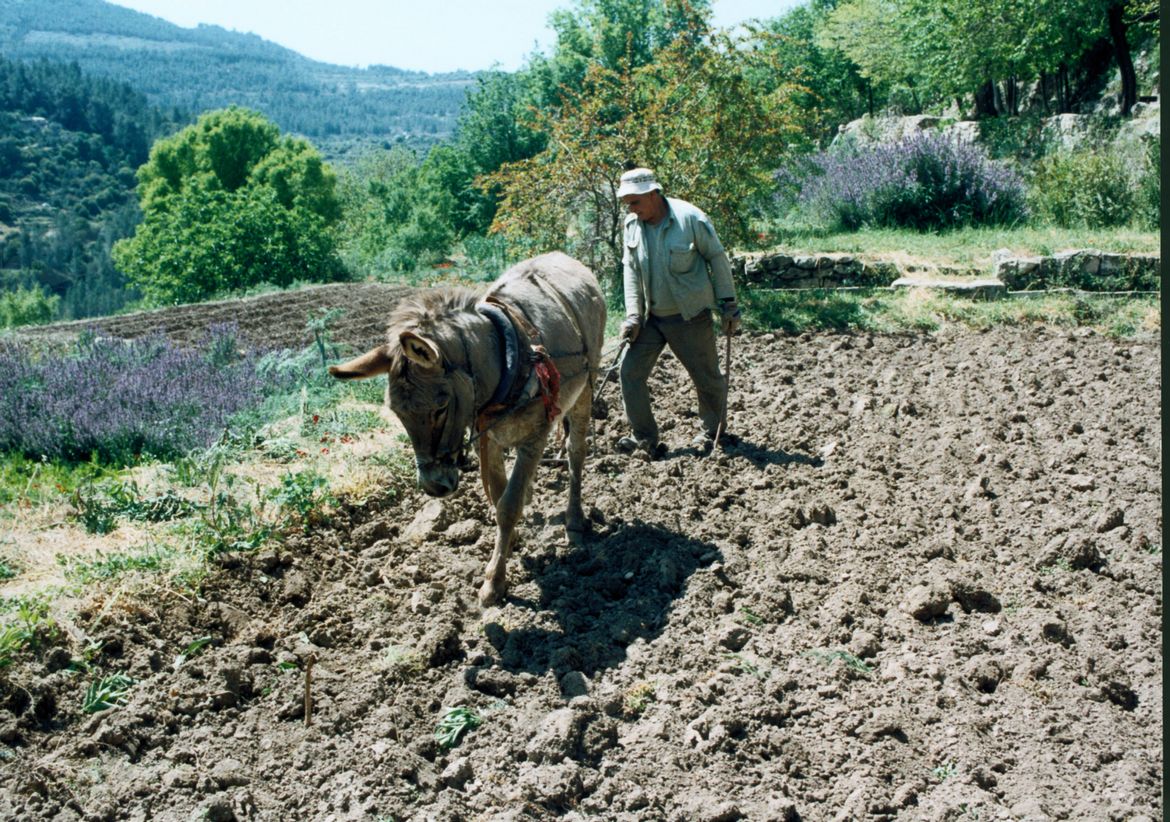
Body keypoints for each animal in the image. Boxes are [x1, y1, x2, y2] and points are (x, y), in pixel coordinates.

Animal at [329, 252, 606, 607]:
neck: (509, 359)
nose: (434, 487)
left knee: (575, 454)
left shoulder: (535, 437)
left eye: (441, 407)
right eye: (397, 414)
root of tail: (562, 257)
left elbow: (508, 506)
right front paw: (510, 544)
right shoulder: (486, 439)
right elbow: (499, 495)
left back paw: (573, 518)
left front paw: (494, 583)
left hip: (585, 390)